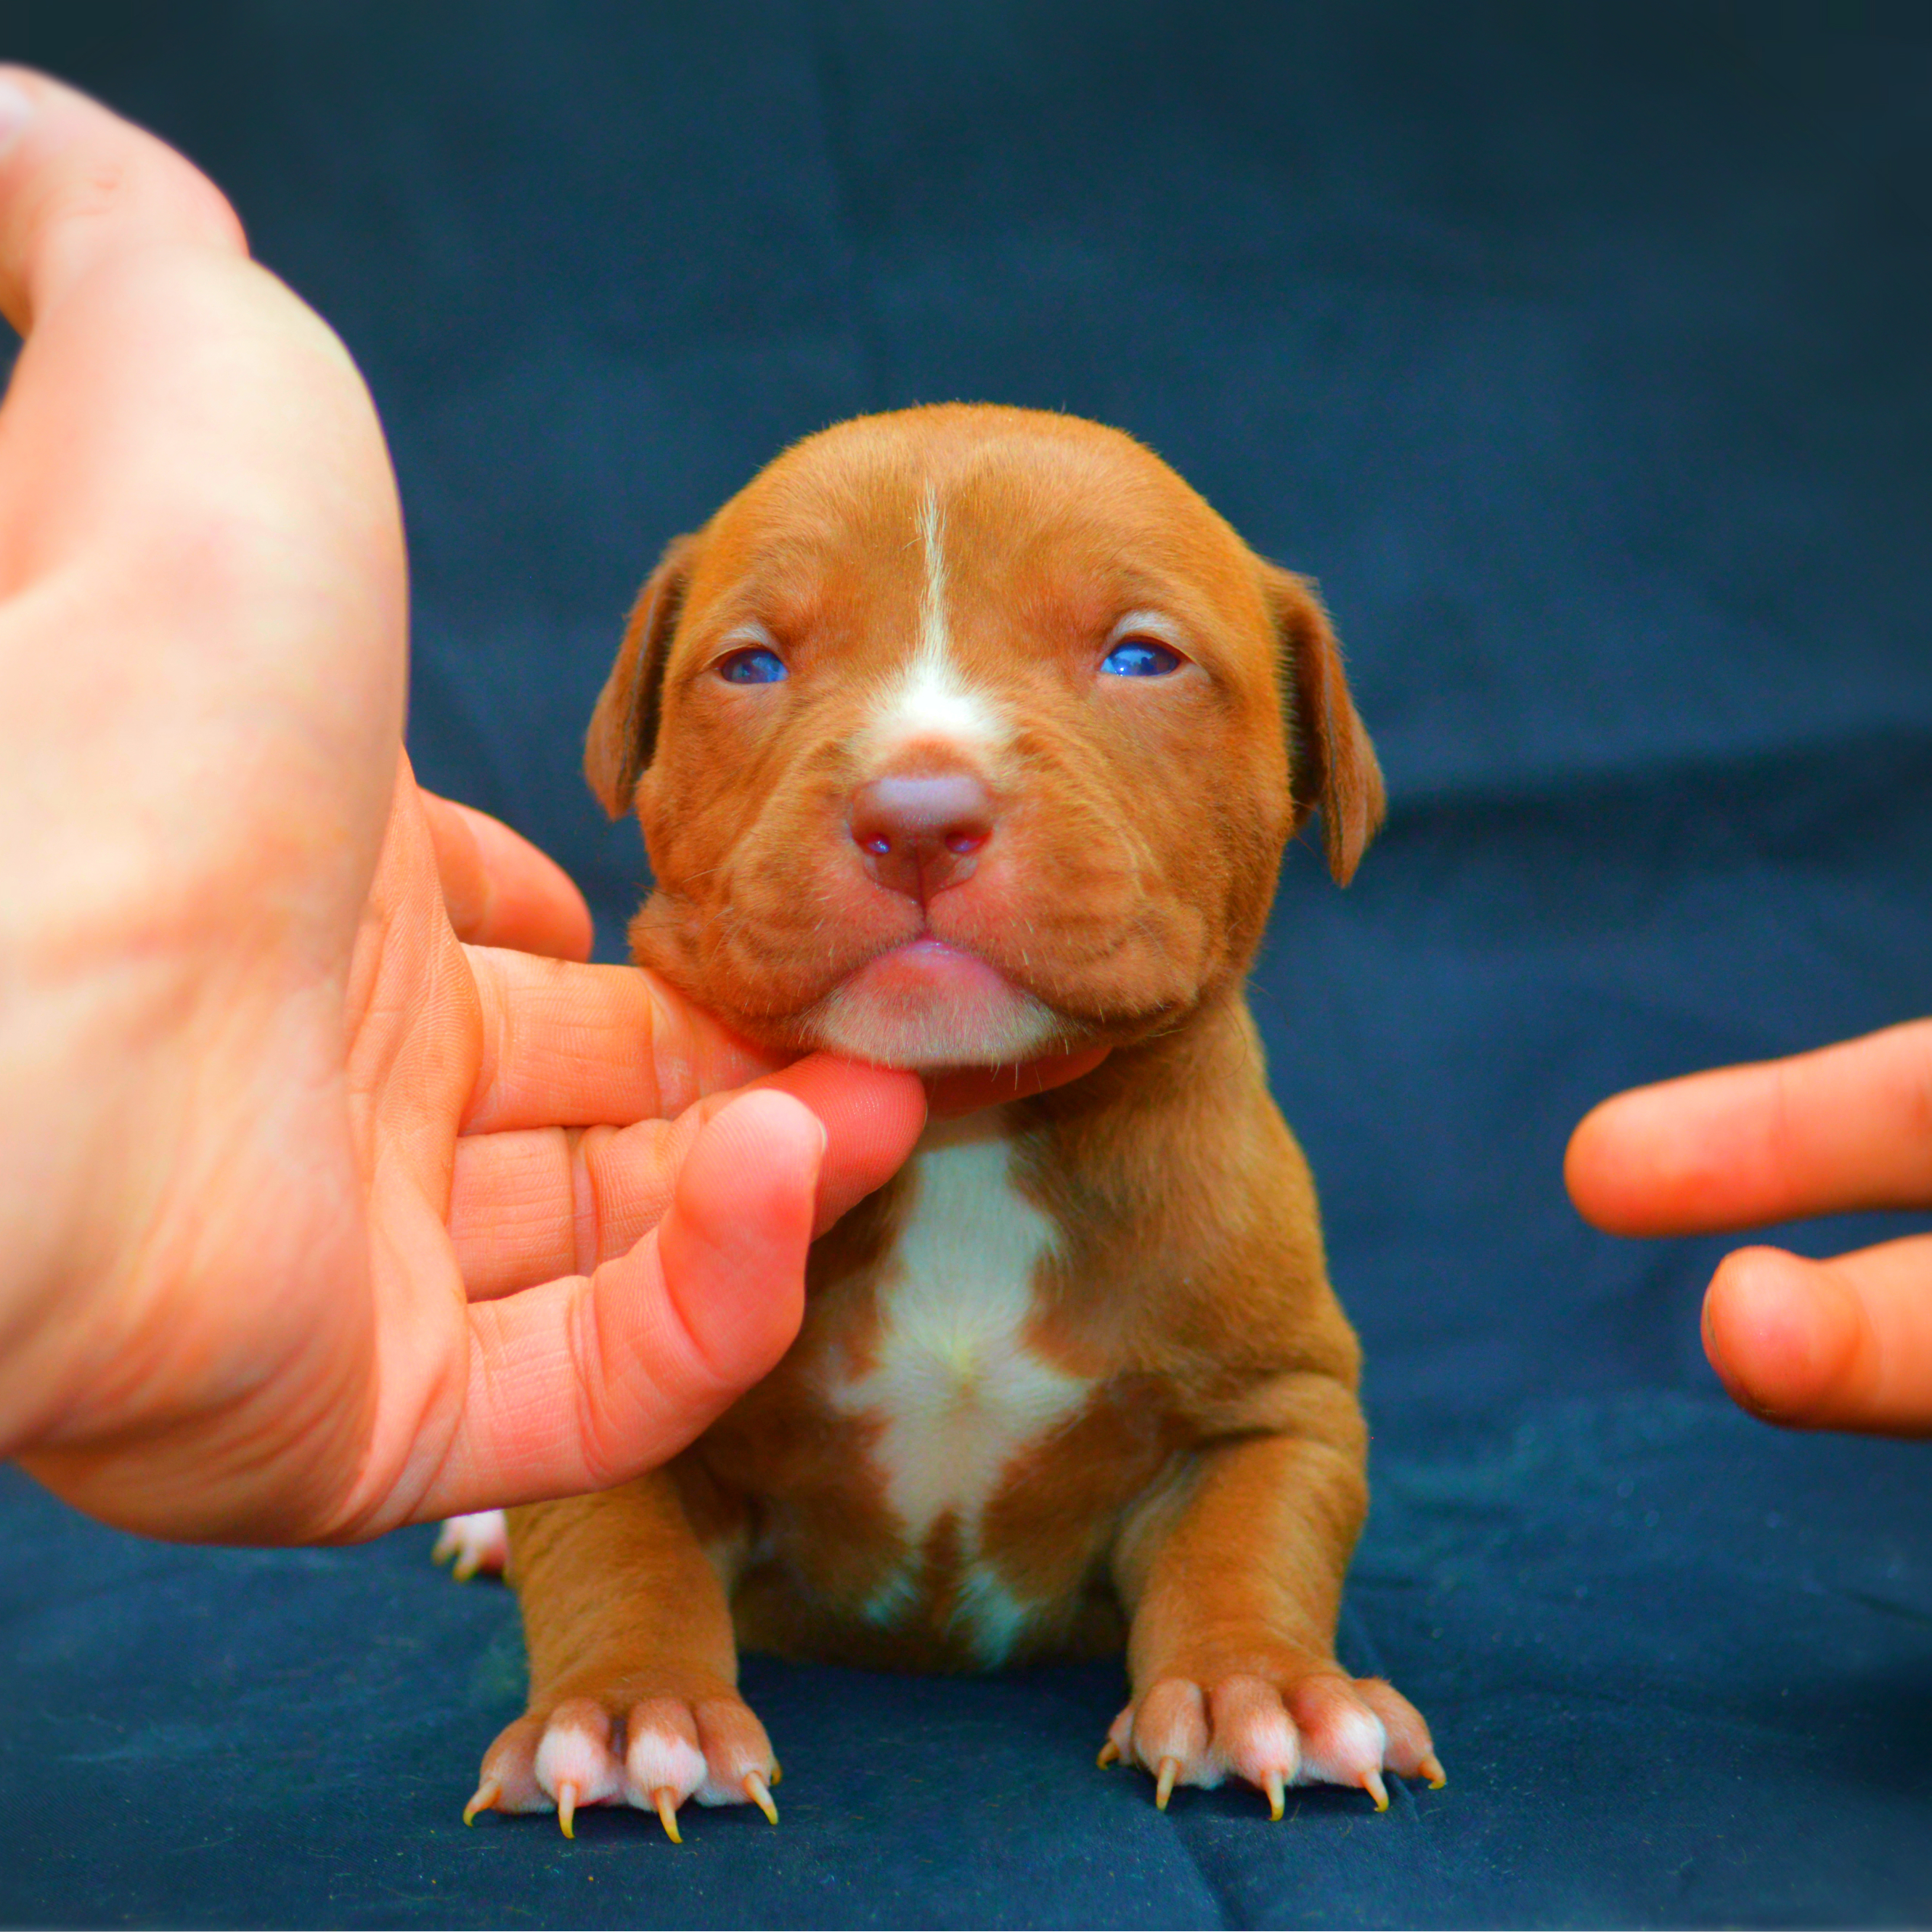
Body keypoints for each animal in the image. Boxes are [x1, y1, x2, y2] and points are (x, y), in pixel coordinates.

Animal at [460, 404, 1445, 1839]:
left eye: (1140, 655)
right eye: (749, 664)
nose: (916, 816)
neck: (960, 1132)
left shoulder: (1273, 1402)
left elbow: (1249, 1535)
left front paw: (1258, 1689)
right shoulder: (624, 1375)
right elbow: (613, 1543)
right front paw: (631, 1712)